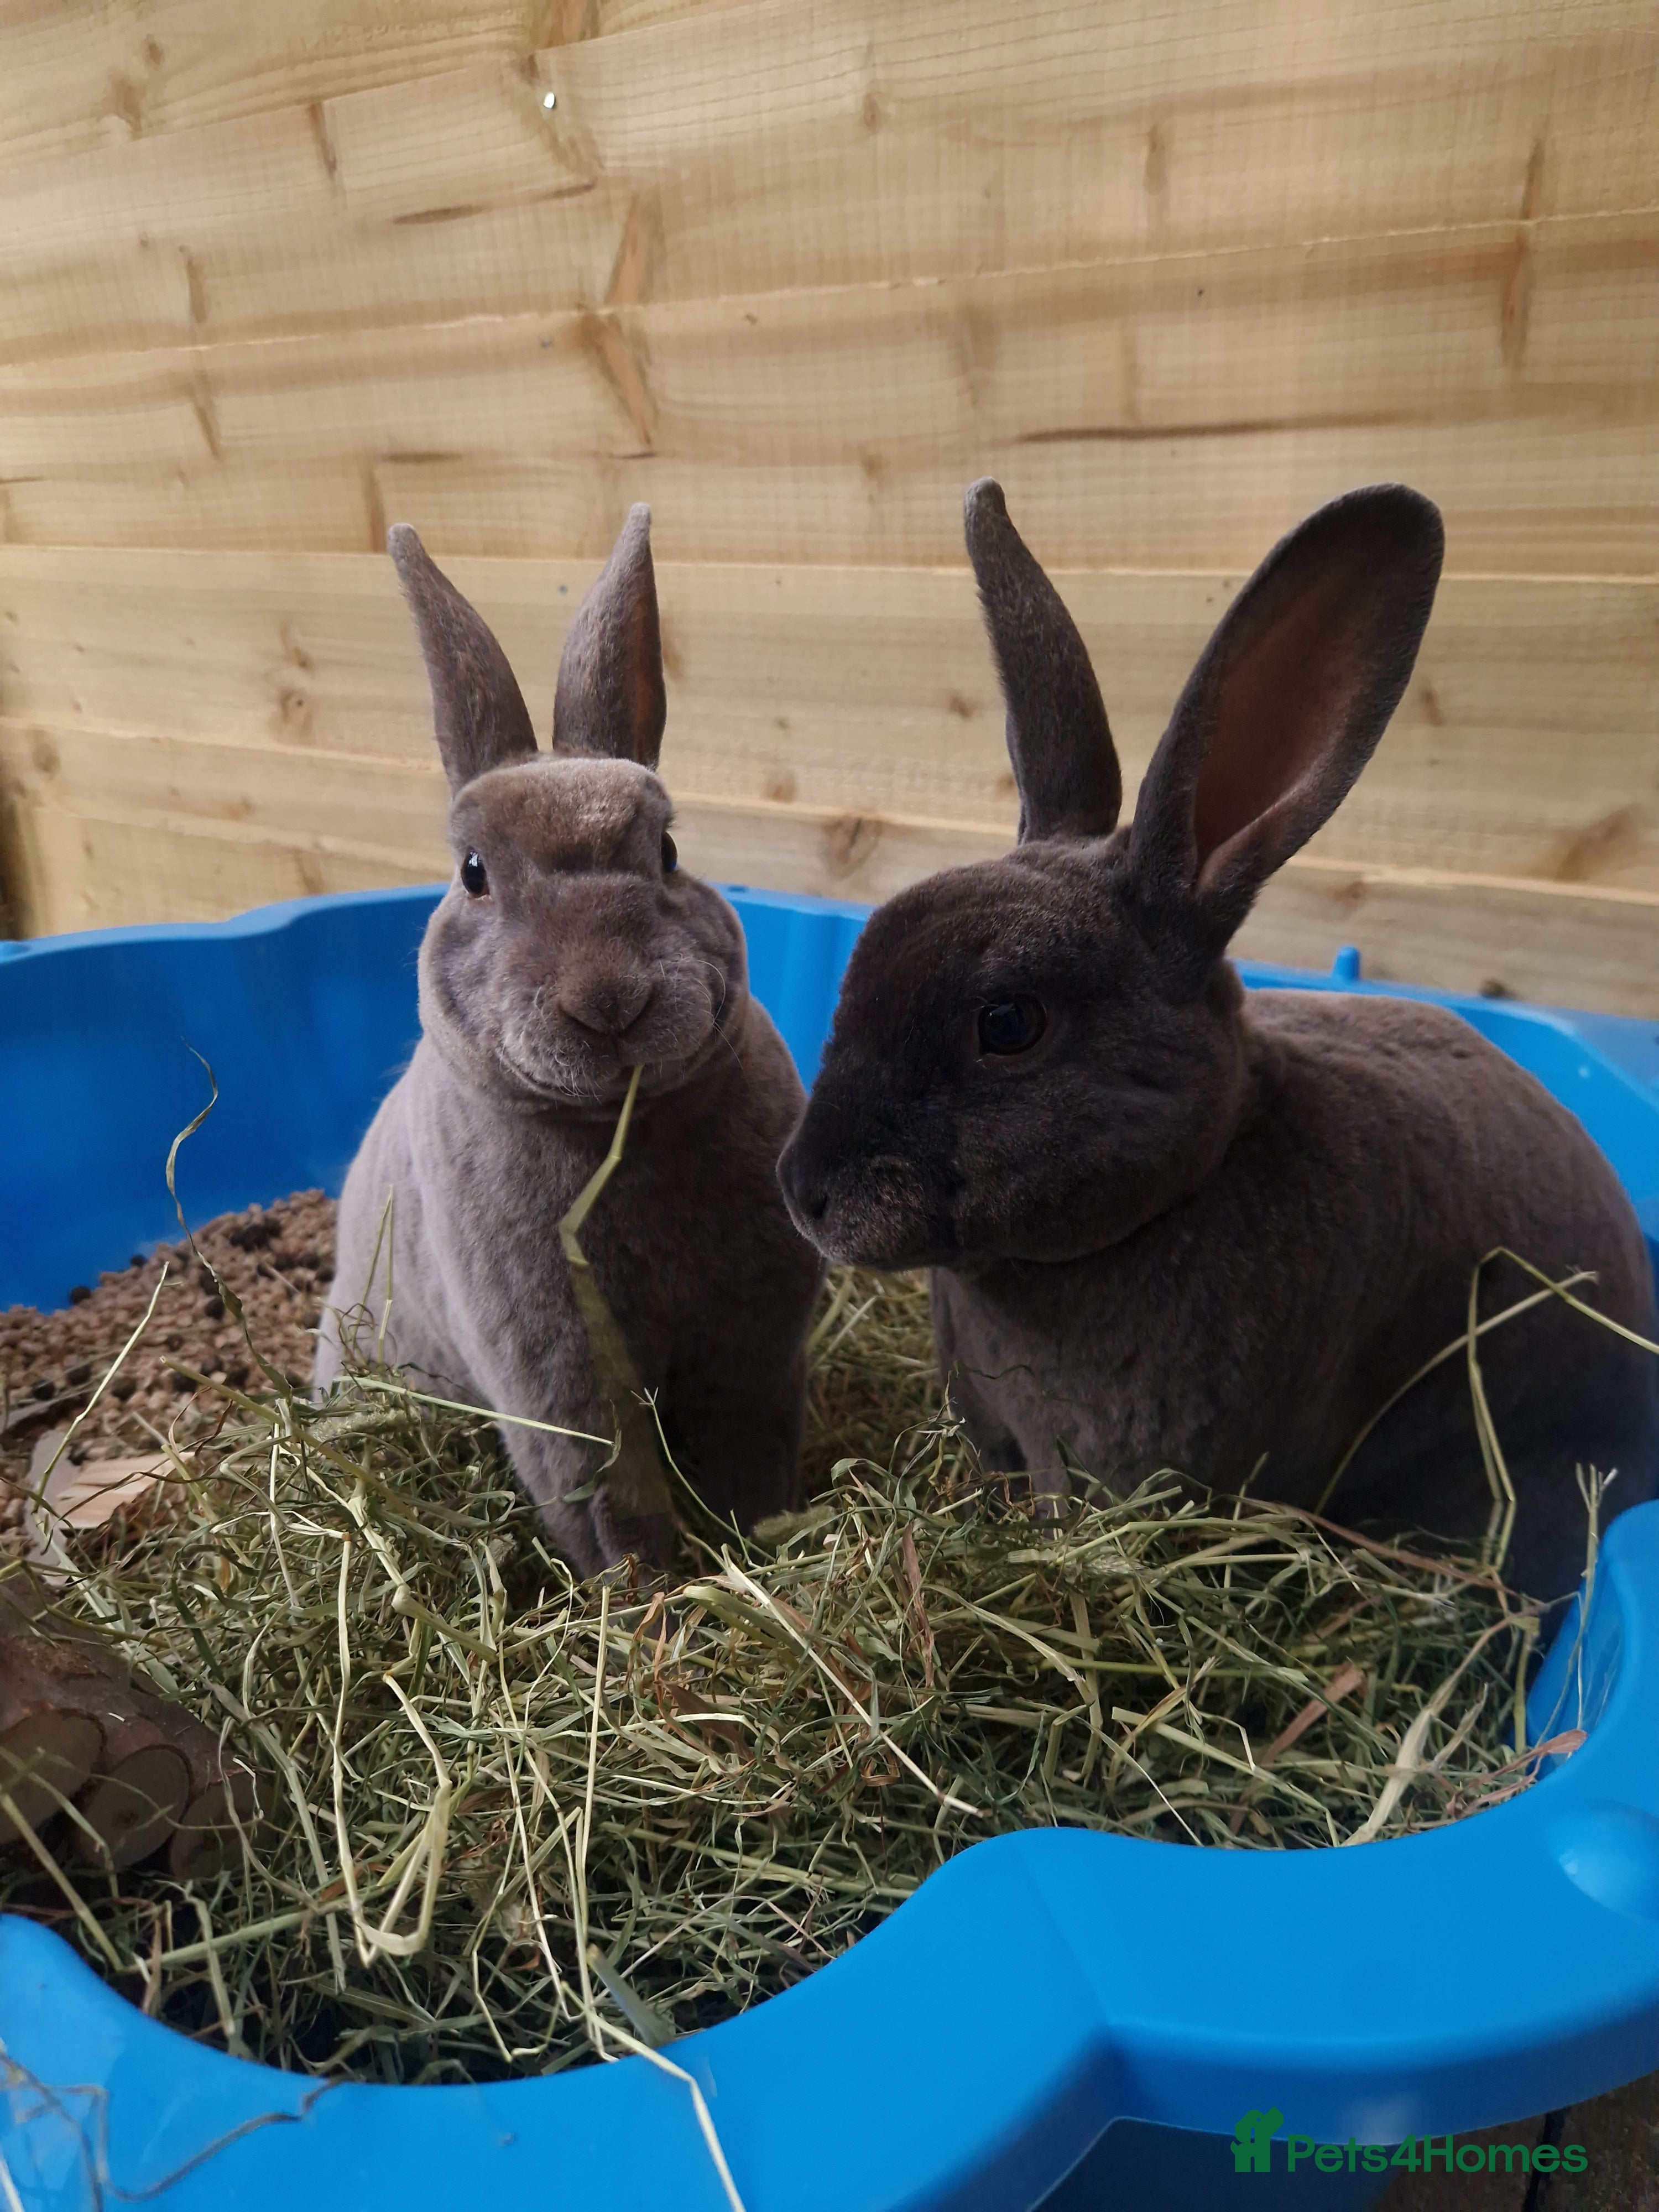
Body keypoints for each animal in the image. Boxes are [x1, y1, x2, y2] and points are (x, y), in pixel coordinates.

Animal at [316, 508, 824, 1576]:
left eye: (667, 851)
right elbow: (605, 1495)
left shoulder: (754, 1351)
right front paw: (646, 1595)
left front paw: (753, 1547)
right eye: (473, 872)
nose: (610, 1001)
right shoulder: (559, 1379)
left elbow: (748, 1455)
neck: (617, 1130)